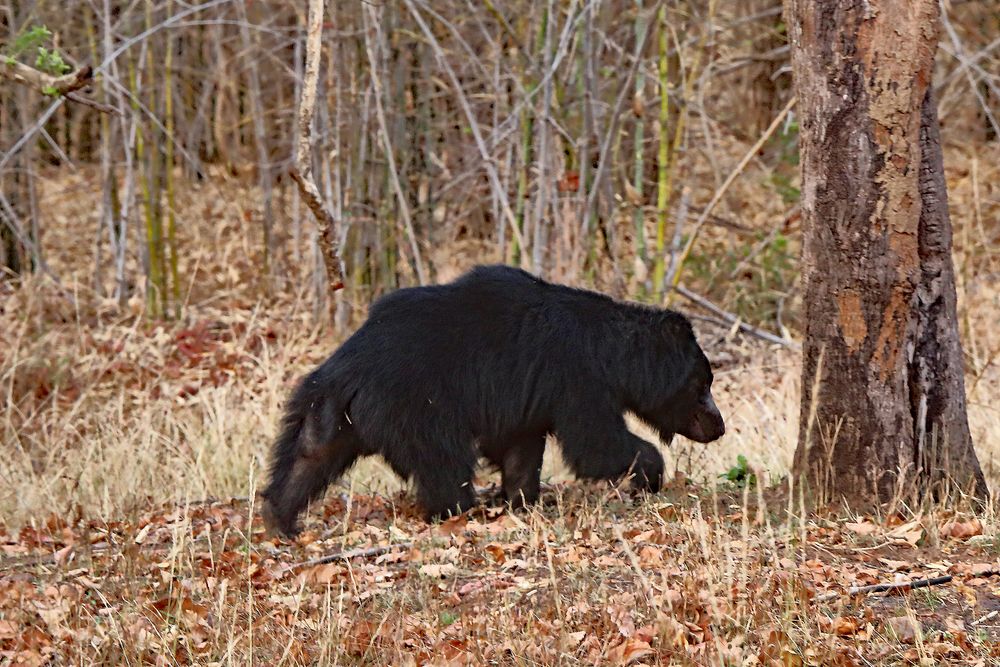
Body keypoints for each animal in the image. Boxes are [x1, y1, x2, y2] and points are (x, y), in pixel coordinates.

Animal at [262, 264, 724, 536]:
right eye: (702, 383)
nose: (718, 426)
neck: (609, 351)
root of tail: (345, 369)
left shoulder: (528, 395)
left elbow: (520, 446)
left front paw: (520, 498)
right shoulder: (575, 378)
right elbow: (594, 442)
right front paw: (650, 473)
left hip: (330, 413)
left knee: (307, 456)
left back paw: (281, 519)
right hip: (417, 406)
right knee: (444, 461)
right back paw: (457, 509)